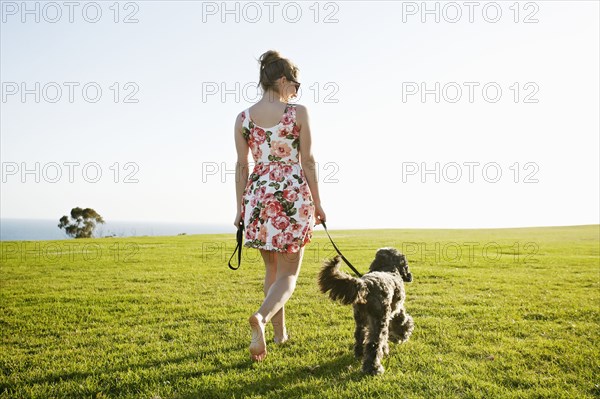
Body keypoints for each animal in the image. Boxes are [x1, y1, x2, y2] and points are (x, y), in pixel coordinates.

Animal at [318, 248, 412, 376]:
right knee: (374, 343)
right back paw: (373, 368)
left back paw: (360, 353)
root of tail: (367, 285)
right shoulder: (397, 309)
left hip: (360, 318)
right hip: (379, 320)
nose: (409, 276)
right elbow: (402, 322)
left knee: (359, 335)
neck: (387, 268)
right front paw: (402, 335)